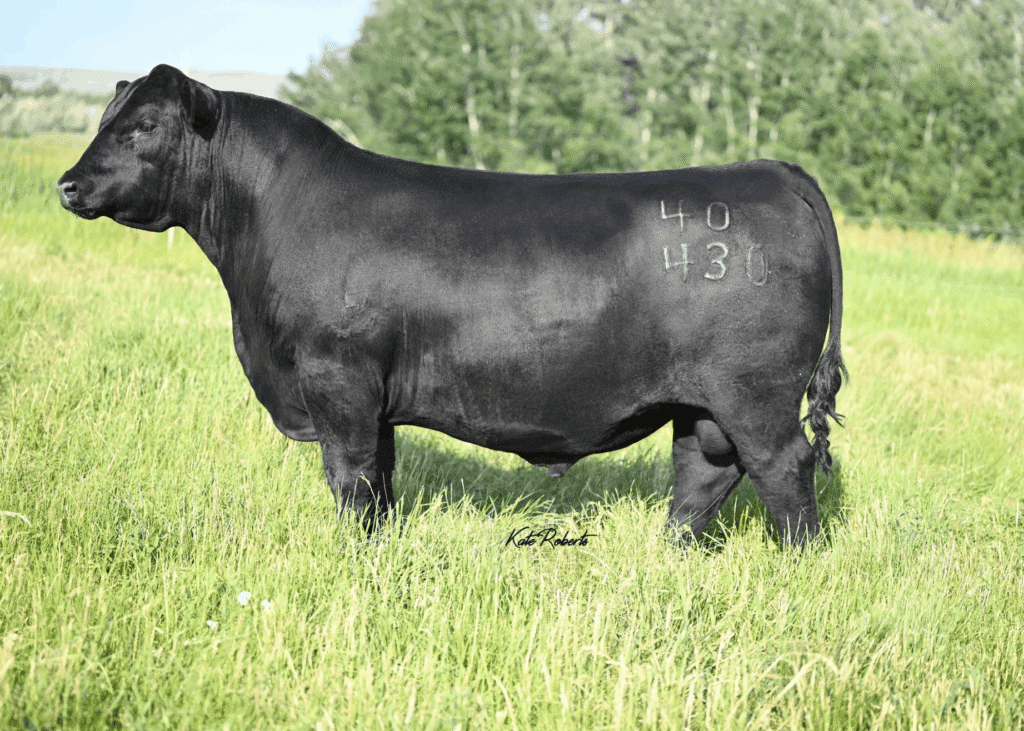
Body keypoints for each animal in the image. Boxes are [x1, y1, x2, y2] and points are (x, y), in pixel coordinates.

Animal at [57, 64, 846, 546]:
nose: (67, 184)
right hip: (704, 402)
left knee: (784, 468)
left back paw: (799, 563)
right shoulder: (371, 396)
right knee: (704, 473)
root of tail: (768, 169)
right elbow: (380, 482)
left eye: (142, 127)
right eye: (105, 117)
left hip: (754, 392)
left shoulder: (337, 378)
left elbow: (351, 477)